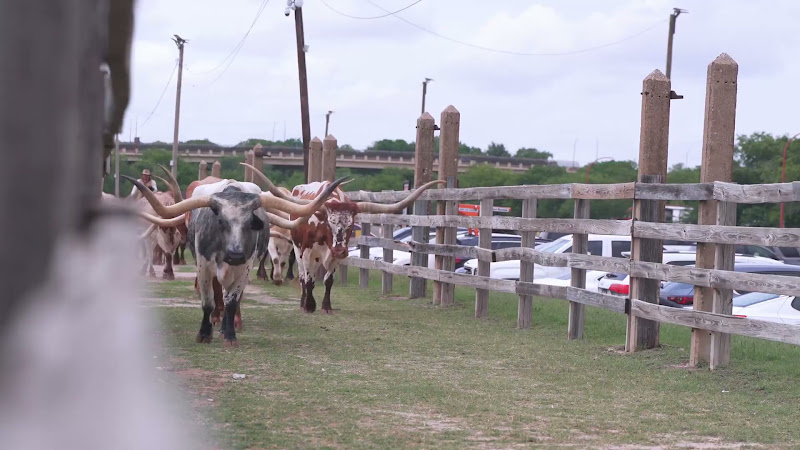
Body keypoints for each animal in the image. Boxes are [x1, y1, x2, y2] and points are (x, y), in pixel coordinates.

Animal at [130, 174, 347, 347]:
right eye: (220, 222)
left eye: (250, 223)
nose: (235, 255)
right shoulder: (204, 266)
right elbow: (208, 301)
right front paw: (204, 333)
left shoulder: (244, 267)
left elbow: (232, 301)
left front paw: (230, 334)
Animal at [244, 163, 443, 314]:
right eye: (328, 224)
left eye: (350, 226)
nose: (340, 250)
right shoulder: (307, 253)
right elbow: (309, 280)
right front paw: (309, 305)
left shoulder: (336, 258)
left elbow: (328, 281)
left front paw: (326, 307)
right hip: (298, 250)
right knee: (301, 275)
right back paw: (302, 301)